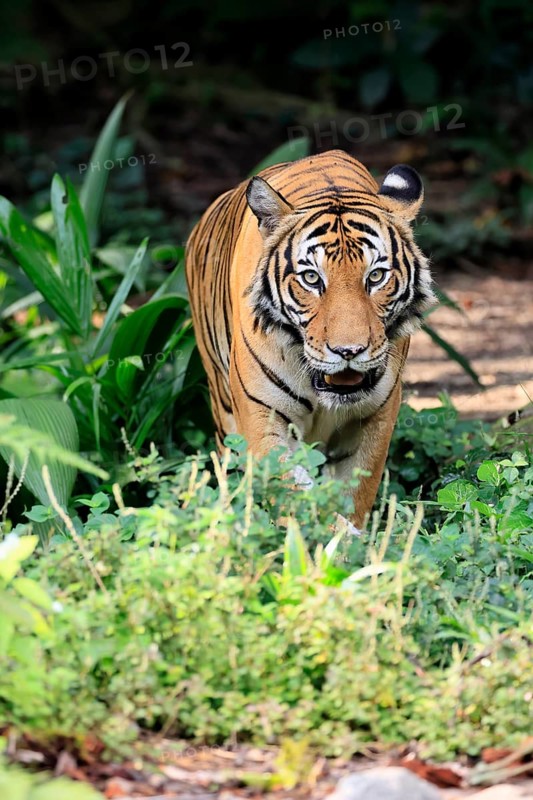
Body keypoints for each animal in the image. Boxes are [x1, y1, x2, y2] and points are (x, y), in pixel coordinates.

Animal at [185, 149, 435, 528]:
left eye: (376, 276)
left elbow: (353, 495)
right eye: (312, 278)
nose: (349, 351)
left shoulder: (374, 418)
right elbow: (296, 497)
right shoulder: (264, 418)